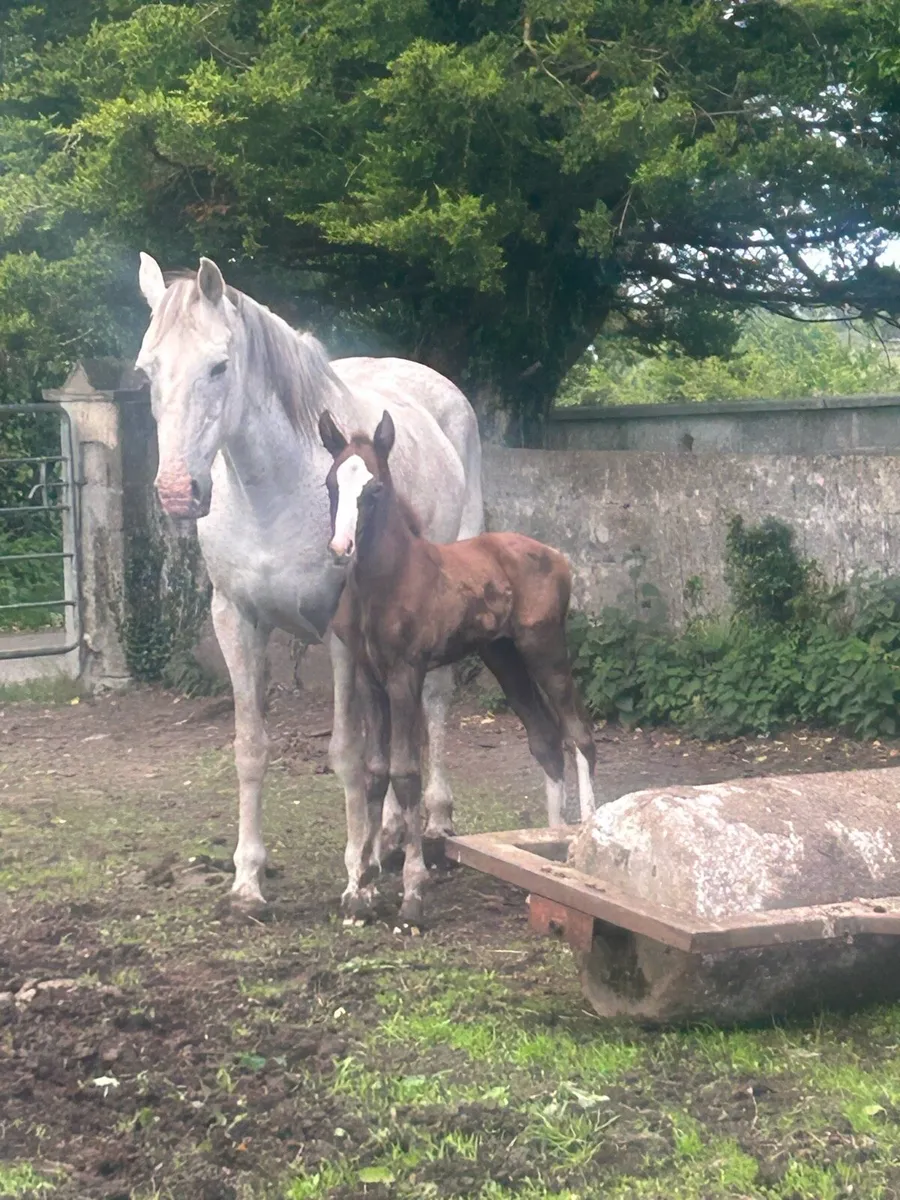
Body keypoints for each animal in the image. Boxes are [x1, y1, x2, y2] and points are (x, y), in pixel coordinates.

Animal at [135, 253, 483, 915]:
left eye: (219, 366)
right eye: (147, 371)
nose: (175, 492)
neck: (272, 489)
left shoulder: (337, 631)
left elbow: (347, 753)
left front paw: (356, 879)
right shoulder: (236, 620)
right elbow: (251, 748)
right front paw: (248, 882)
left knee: (432, 704)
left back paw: (431, 825)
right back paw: (390, 837)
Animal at [320, 408, 596, 928]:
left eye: (375, 488)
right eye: (331, 483)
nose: (341, 546)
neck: (385, 583)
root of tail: (559, 558)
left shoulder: (405, 675)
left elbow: (407, 775)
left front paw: (412, 894)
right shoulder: (370, 679)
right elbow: (374, 773)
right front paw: (360, 892)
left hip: (545, 649)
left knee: (579, 734)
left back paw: (585, 842)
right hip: (504, 657)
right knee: (546, 740)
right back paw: (545, 862)